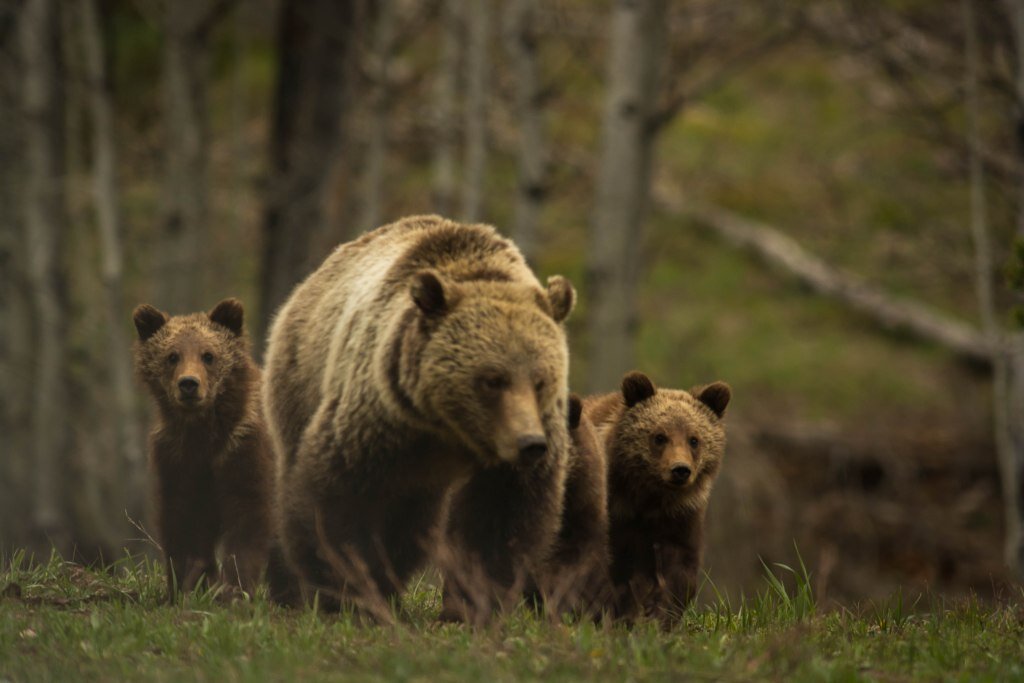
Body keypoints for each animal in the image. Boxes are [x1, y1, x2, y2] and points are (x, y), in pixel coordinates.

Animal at [133, 296, 276, 602]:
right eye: (172, 356)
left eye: (208, 355)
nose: (189, 384)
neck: (203, 432)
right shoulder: (178, 459)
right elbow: (182, 520)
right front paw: (186, 584)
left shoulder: (243, 449)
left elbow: (249, 514)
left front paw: (234, 589)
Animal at [264, 216, 577, 622]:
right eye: (493, 379)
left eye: (540, 380)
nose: (530, 444)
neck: (450, 430)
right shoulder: (378, 419)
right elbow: (339, 495)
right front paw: (346, 591)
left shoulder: (514, 457)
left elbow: (501, 518)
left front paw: (473, 604)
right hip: (301, 376)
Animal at [585, 370, 729, 622]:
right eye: (659, 436)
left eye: (694, 439)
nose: (680, 470)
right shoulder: (617, 518)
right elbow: (614, 569)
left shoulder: (681, 518)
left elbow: (680, 571)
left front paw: (660, 616)